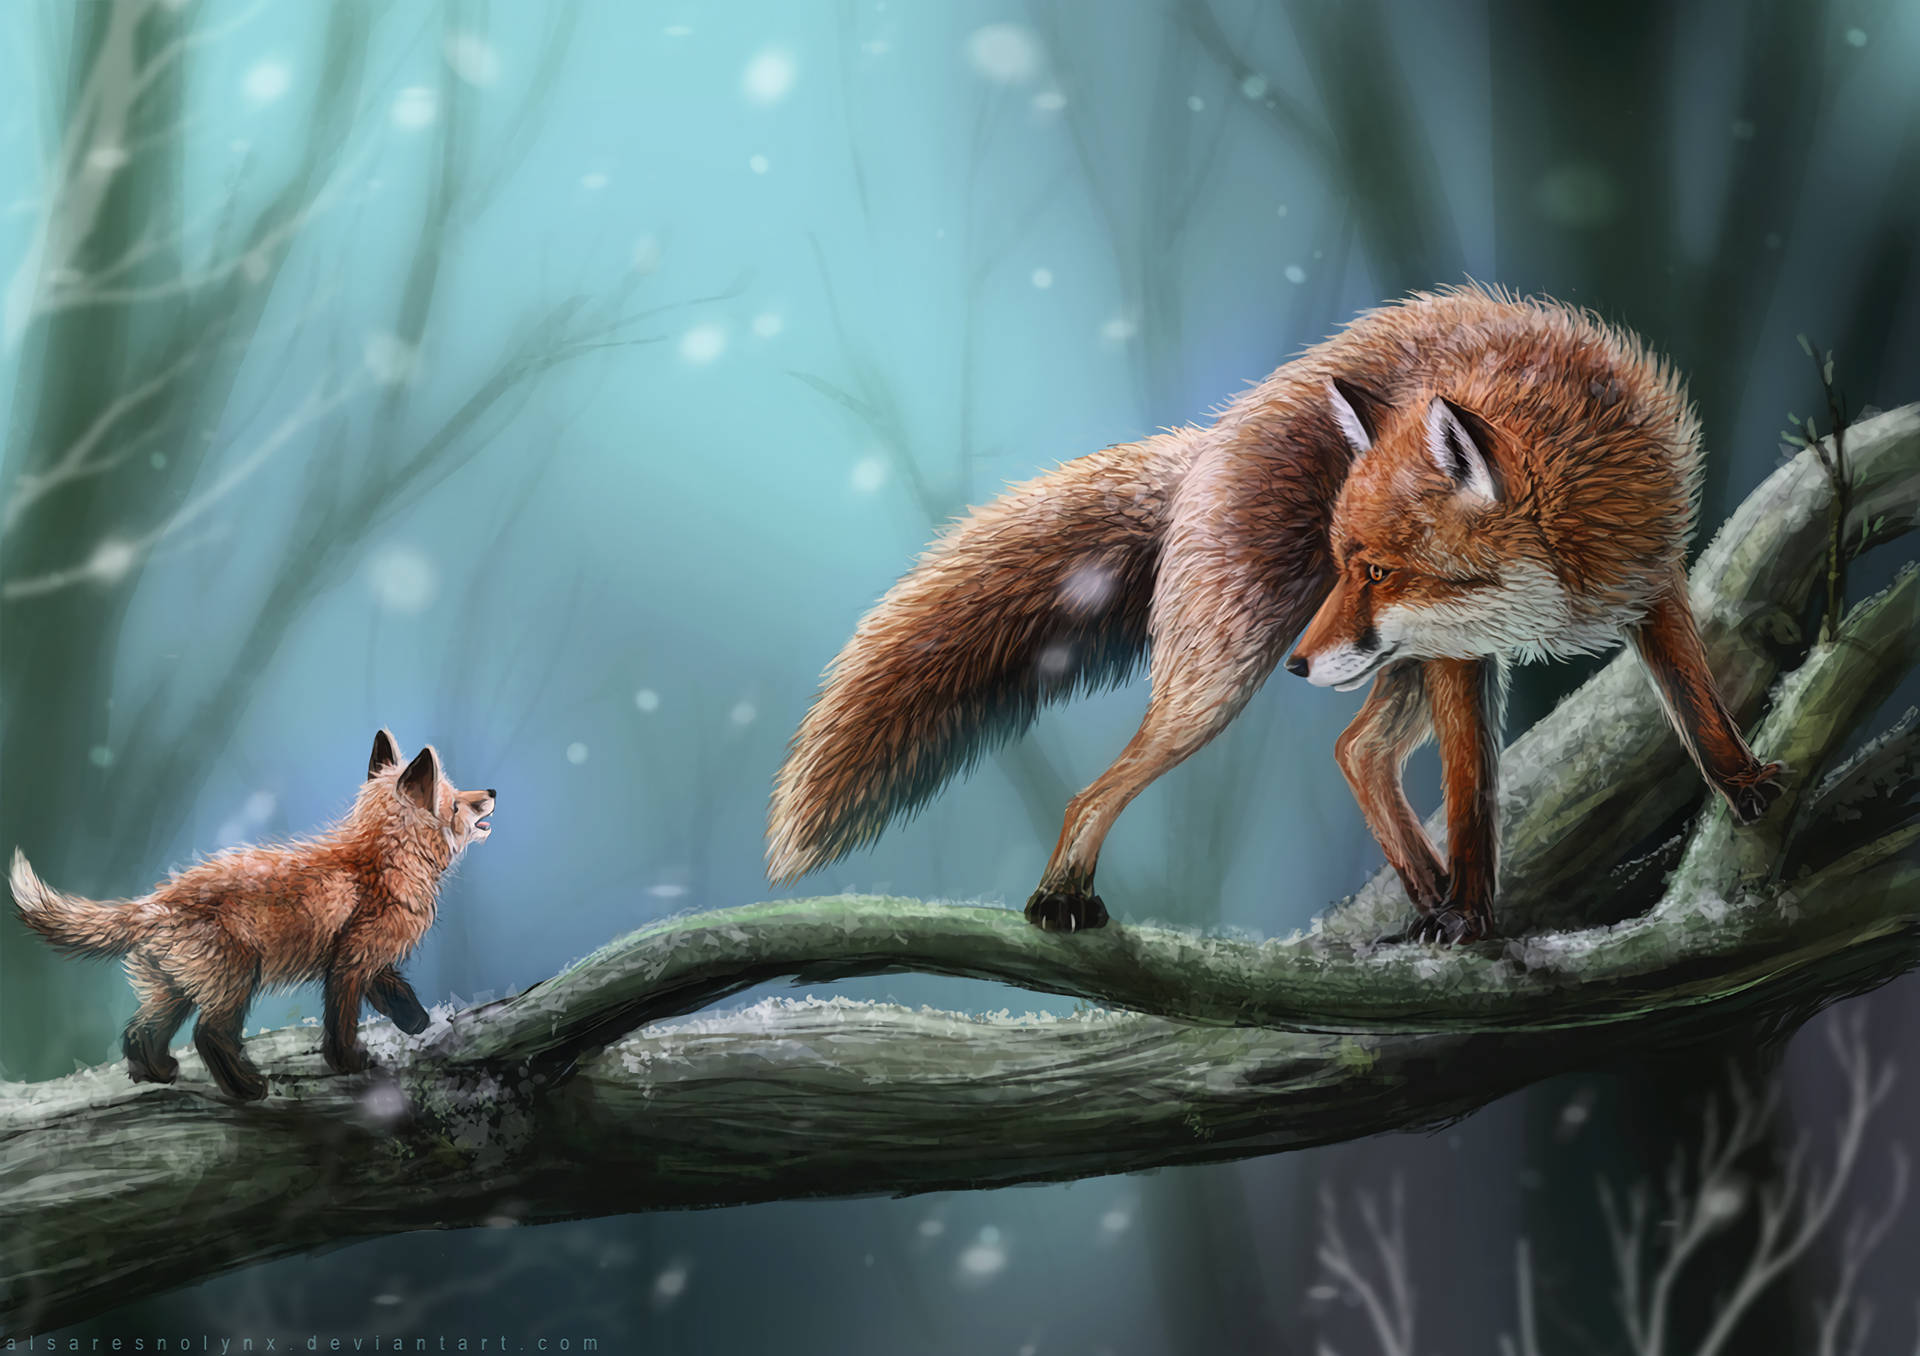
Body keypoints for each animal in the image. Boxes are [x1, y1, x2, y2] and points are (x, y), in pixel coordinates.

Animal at [9, 730, 495, 1100]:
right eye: (456, 803)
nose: (491, 792)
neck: (382, 860)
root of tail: (155, 901)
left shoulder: (368, 958)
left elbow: (398, 994)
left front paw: (418, 1023)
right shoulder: (350, 962)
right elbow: (342, 1022)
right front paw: (350, 1063)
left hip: (173, 990)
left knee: (138, 1032)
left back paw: (158, 1074)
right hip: (237, 979)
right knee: (208, 1035)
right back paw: (245, 1089)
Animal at [766, 284, 1783, 942]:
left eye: (1377, 569)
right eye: (1344, 565)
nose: (1297, 666)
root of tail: (1213, 438)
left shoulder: (1645, 584)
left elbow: (1695, 701)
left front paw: (1744, 783)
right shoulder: (1461, 658)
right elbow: (1471, 800)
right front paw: (1471, 912)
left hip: (1388, 664)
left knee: (1356, 751)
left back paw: (1420, 892)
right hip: (1227, 680)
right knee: (1103, 789)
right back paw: (1061, 897)